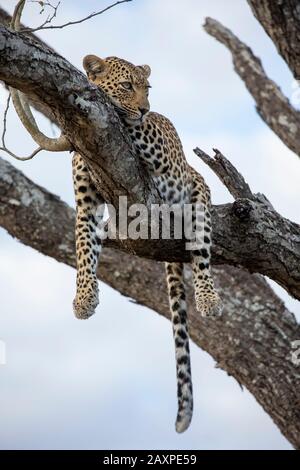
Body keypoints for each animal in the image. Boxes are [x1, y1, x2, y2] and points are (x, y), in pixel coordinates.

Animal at [72, 55, 223, 434]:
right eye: (127, 85)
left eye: (147, 88)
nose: (145, 108)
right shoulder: (86, 203)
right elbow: (83, 247)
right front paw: (84, 299)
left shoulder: (154, 146)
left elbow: (130, 127)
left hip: (197, 188)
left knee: (202, 249)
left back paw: (208, 298)